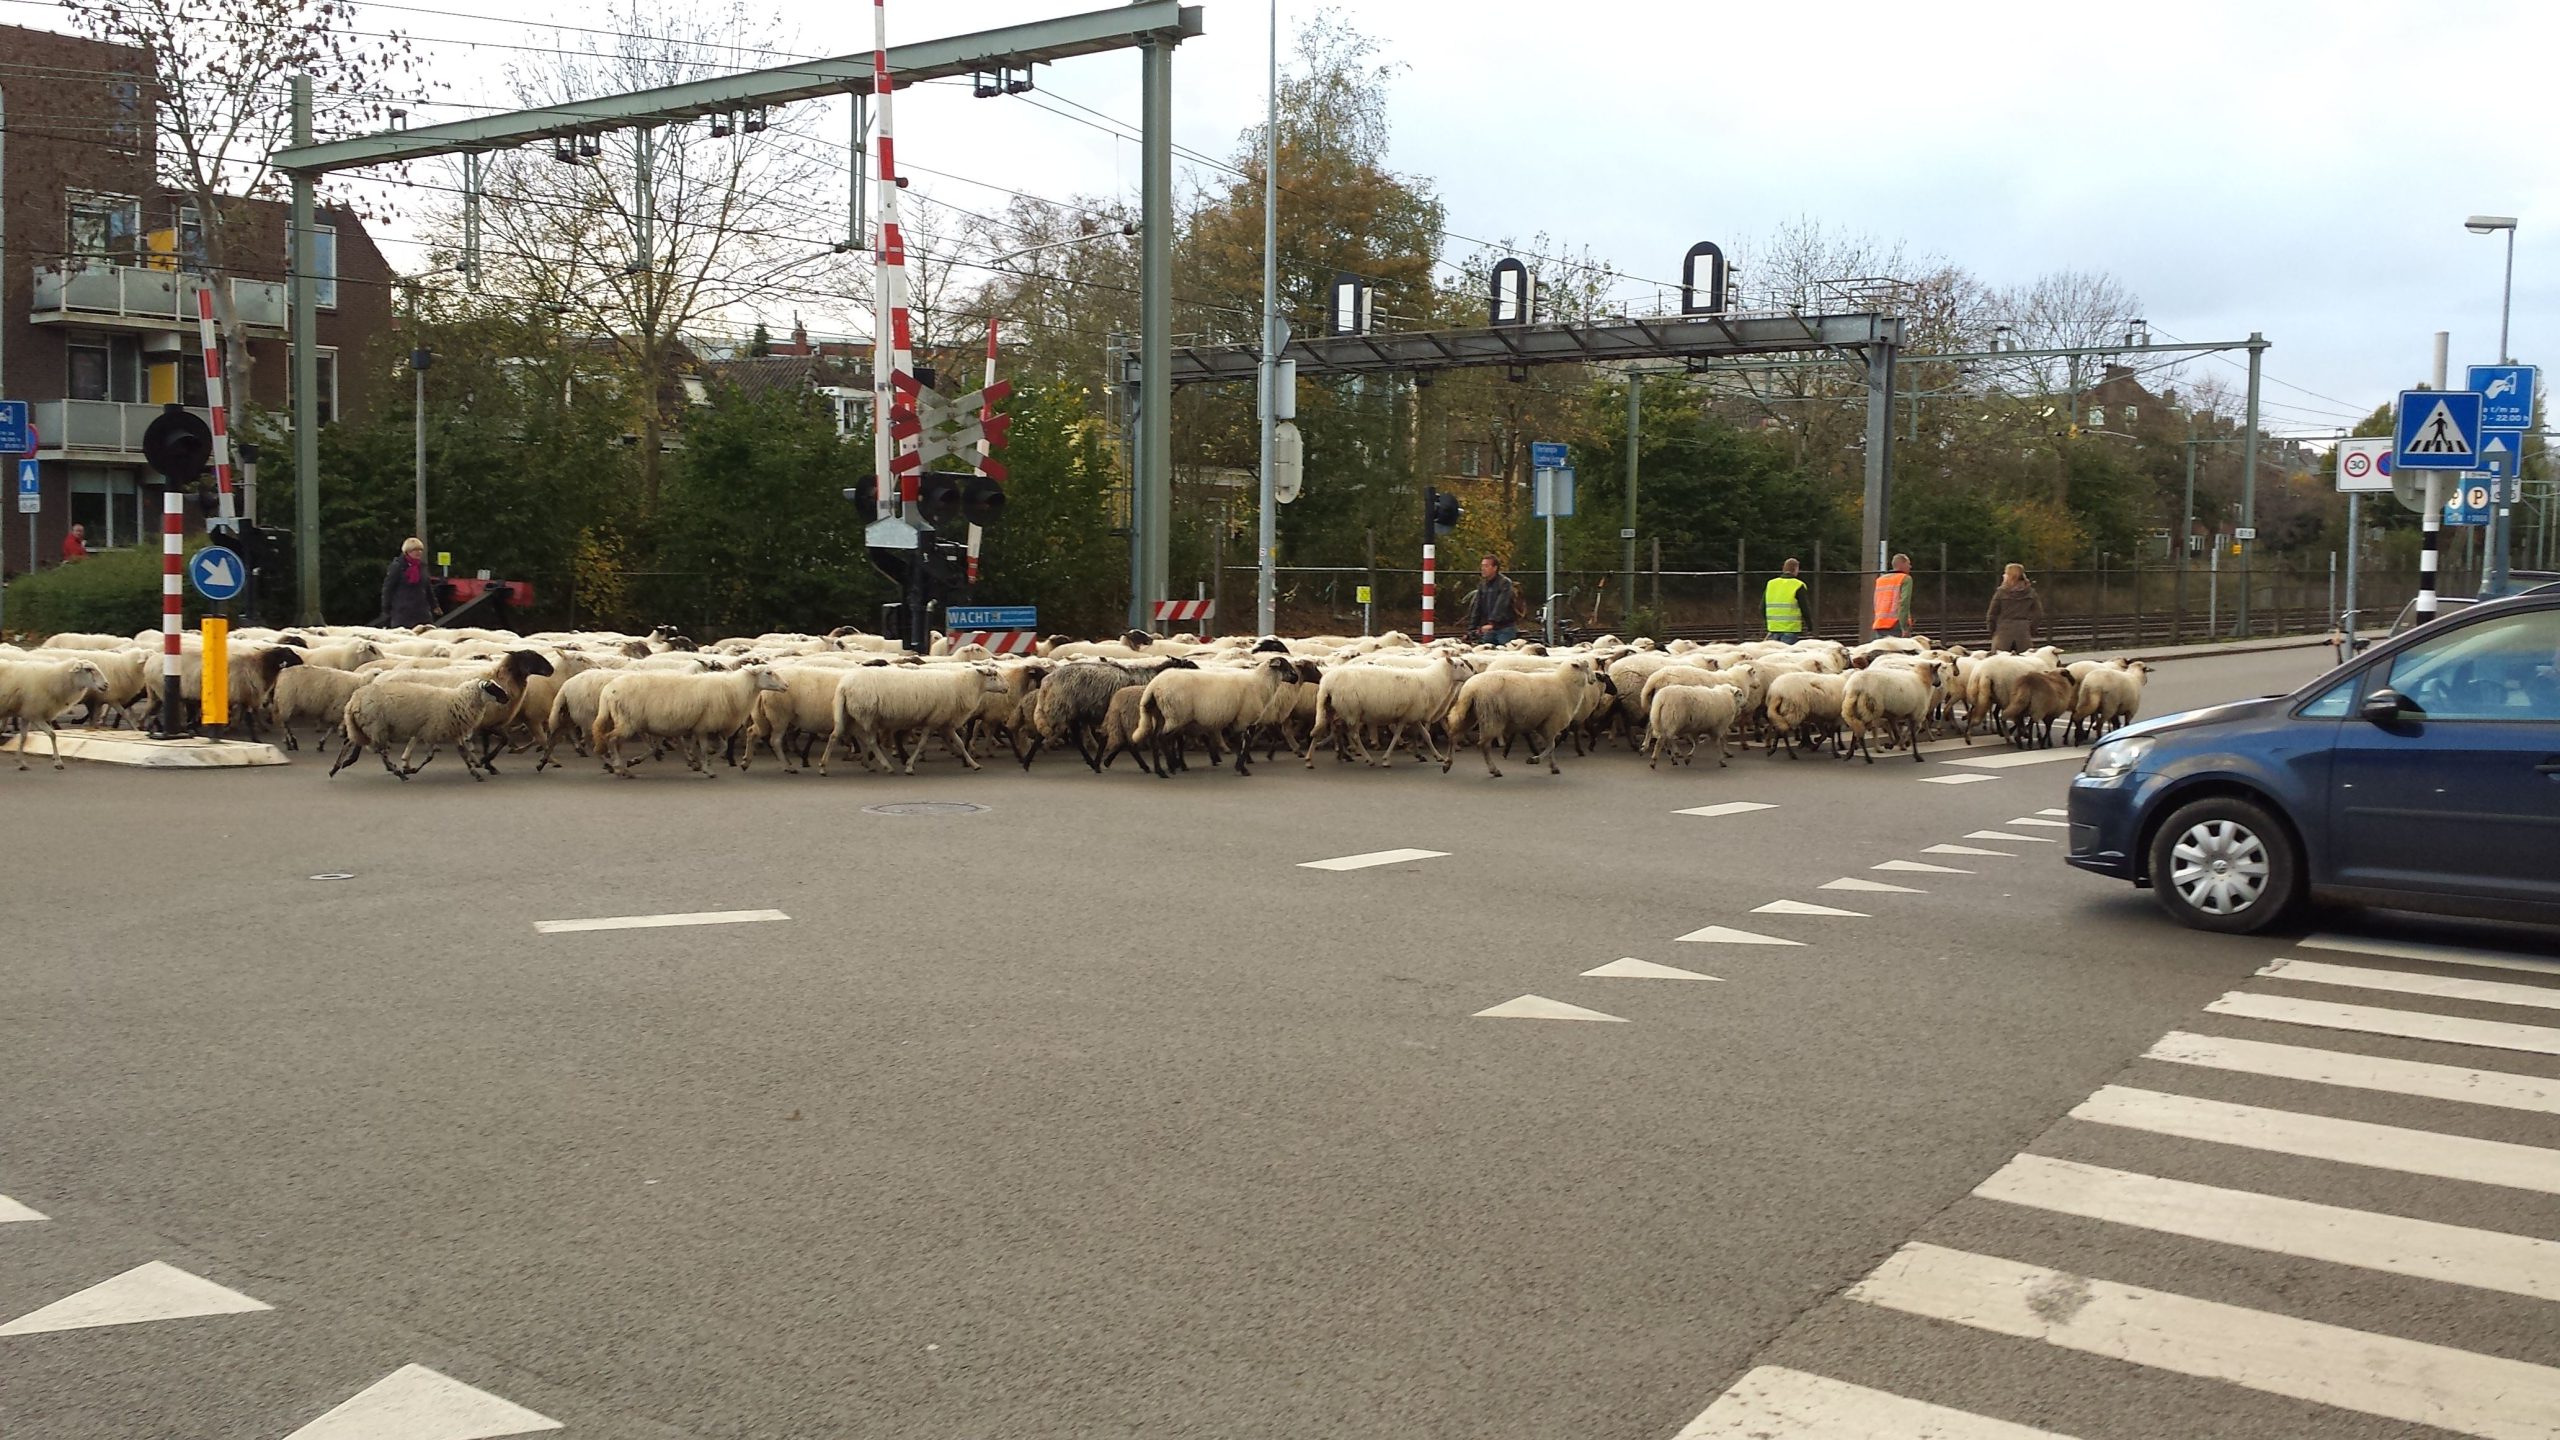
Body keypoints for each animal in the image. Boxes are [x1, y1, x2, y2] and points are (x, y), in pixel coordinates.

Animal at [327, 676, 512, 778]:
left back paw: (336, 767)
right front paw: (410, 770)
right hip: (376, 726)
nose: (507, 698)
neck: (456, 700)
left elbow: (461, 752)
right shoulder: (433, 731)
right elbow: (434, 756)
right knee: (380, 750)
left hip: (364, 726)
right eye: (492, 688)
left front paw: (477, 769)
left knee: (350, 742)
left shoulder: (442, 732)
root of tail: (353, 701)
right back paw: (397, 773)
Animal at [591, 661, 783, 773]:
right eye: (768, 672)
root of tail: (607, 691)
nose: (786, 686)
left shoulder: (703, 727)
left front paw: (703, 763)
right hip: (627, 722)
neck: (734, 688)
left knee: (611, 740)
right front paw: (707, 768)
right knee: (610, 739)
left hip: (626, 721)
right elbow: (708, 748)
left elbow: (721, 746)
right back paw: (619, 768)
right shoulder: (706, 725)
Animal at [1136, 650, 1300, 773]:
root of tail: (1153, 686)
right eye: (1285, 666)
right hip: (1175, 716)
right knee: (1162, 738)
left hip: (1161, 715)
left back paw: (1160, 770)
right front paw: (1242, 768)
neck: (1260, 684)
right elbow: (1244, 744)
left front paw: (1239, 765)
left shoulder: (1237, 719)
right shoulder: (1246, 719)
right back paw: (1170, 767)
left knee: (1155, 739)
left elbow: (1238, 742)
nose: (1296, 678)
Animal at [1443, 661, 1597, 773]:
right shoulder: (1551, 723)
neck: (1565, 684)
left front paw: (1552, 766)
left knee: (1453, 735)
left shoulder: (1543, 723)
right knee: (1483, 745)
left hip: (1468, 713)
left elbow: (1551, 746)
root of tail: (1470, 689)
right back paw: (1494, 769)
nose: (1595, 679)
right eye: (1587, 666)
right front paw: (1535, 760)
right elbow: (1551, 746)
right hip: (1491, 717)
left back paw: (1447, 763)